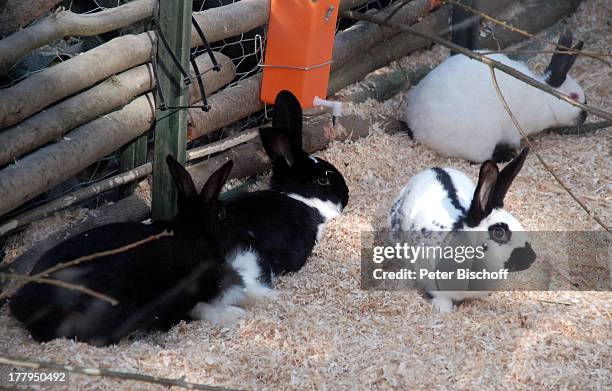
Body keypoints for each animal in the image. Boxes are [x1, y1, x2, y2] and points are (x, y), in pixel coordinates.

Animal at [402, 28, 588, 162]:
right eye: (574, 96)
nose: (585, 116)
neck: (545, 98)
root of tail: (418, 130)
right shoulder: (513, 131)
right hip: (481, 138)